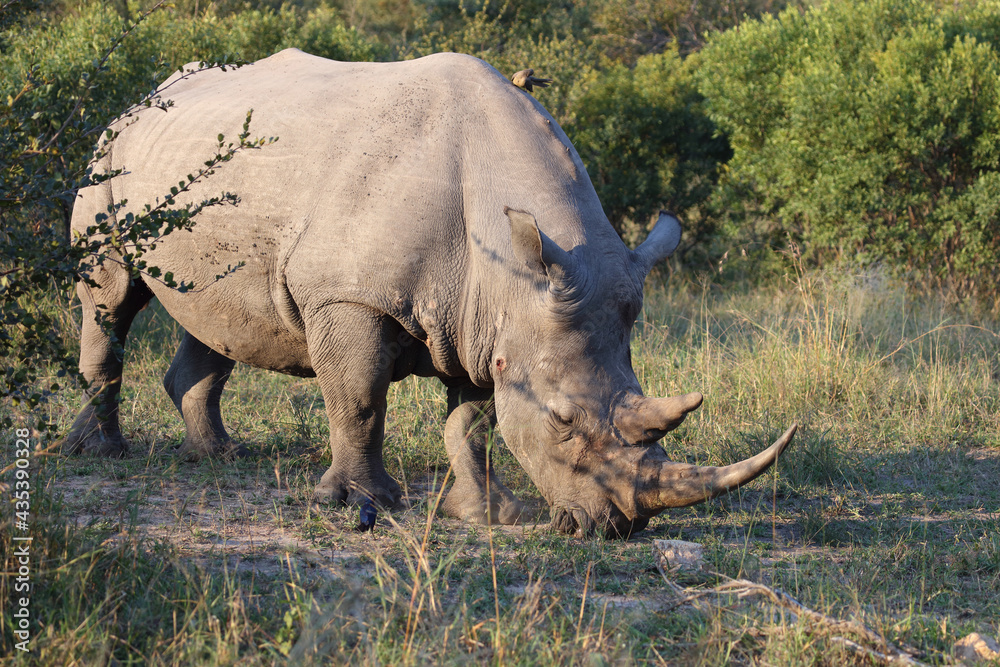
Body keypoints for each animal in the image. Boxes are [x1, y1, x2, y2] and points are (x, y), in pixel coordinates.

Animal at [63, 49, 796, 538]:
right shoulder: (351, 296)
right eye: (562, 420)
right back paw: (100, 455)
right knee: (110, 297)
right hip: (107, 157)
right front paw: (366, 502)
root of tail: (143, 98)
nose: (614, 526)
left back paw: (217, 456)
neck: (512, 273)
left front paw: (488, 515)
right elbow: (359, 400)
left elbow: (471, 422)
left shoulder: (488, 318)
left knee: (216, 317)